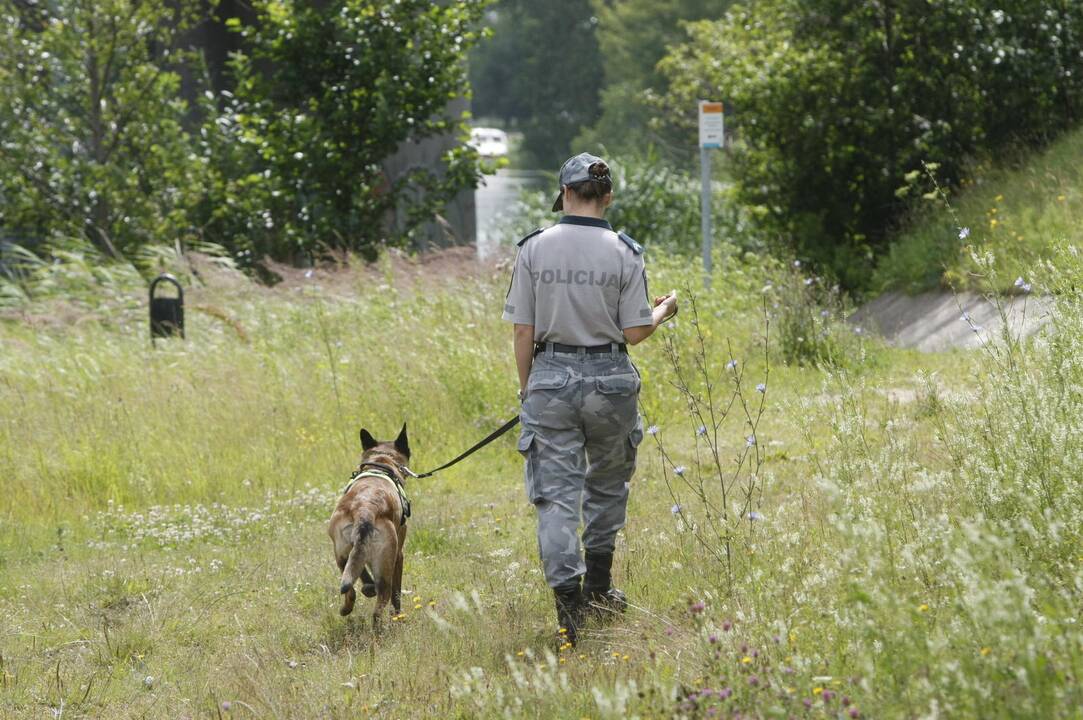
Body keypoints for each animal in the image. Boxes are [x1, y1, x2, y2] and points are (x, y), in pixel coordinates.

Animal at [324, 422, 409, 627]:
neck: (382, 461)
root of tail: (365, 509)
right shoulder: (399, 555)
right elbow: (397, 595)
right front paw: (398, 616)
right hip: (387, 563)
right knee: (381, 604)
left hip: (340, 554)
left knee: (350, 589)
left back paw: (349, 606)